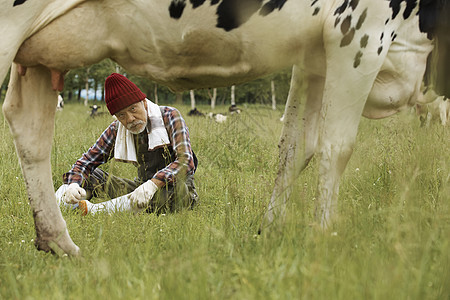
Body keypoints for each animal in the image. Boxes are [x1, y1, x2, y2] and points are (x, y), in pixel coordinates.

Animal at [0, 0, 448, 255]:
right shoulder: (360, 31)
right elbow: (336, 147)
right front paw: (323, 238)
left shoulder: (312, 53)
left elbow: (294, 146)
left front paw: (270, 230)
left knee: (30, 129)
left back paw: (59, 242)